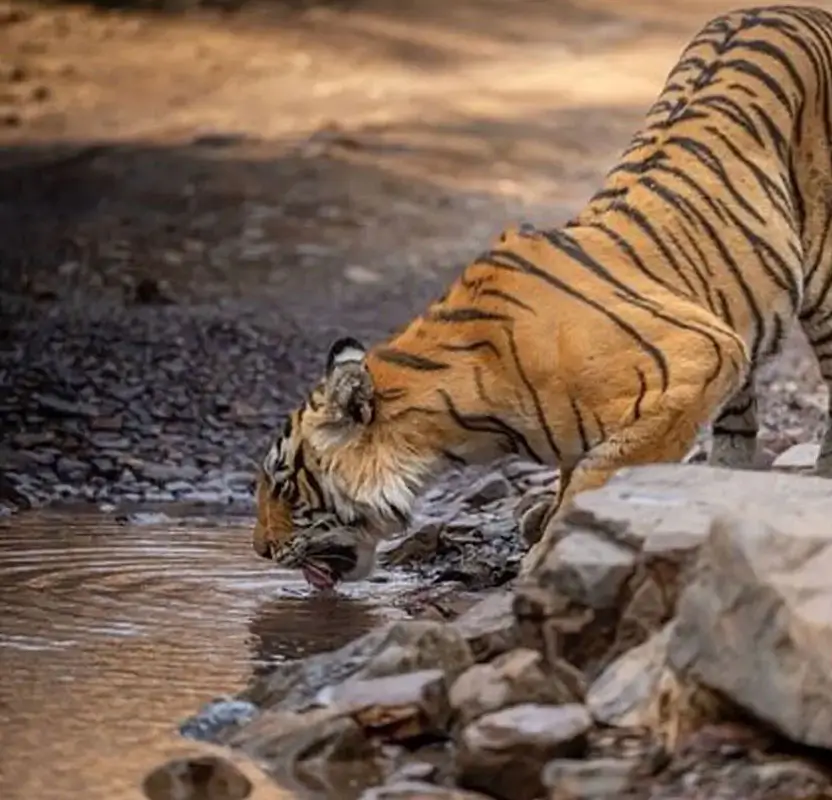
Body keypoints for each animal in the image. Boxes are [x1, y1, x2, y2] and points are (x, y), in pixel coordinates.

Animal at [253, 5, 832, 589]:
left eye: (285, 486)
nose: (260, 549)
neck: (459, 423)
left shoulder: (701, 356)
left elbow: (600, 473)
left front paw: (549, 550)